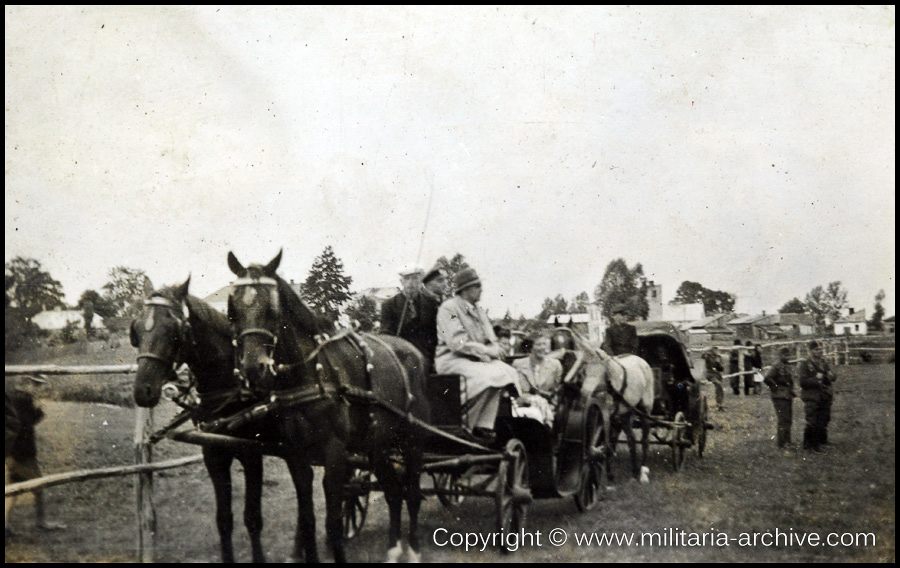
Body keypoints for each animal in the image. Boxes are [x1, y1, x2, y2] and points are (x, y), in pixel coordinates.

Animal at [131, 278, 310, 560]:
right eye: (136, 330)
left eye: (174, 329)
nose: (142, 390)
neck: (230, 384)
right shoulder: (213, 454)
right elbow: (224, 520)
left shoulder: (251, 454)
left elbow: (253, 518)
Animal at [230, 251, 430, 560]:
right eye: (234, 309)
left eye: (272, 309)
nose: (253, 368)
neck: (310, 375)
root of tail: (414, 352)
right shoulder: (295, 455)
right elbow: (308, 518)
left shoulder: (335, 453)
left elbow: (333, 521)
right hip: (377, 445)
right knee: (394, 492)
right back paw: (393, 548)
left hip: (412, 441)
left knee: (411, 492)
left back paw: (414, 548)